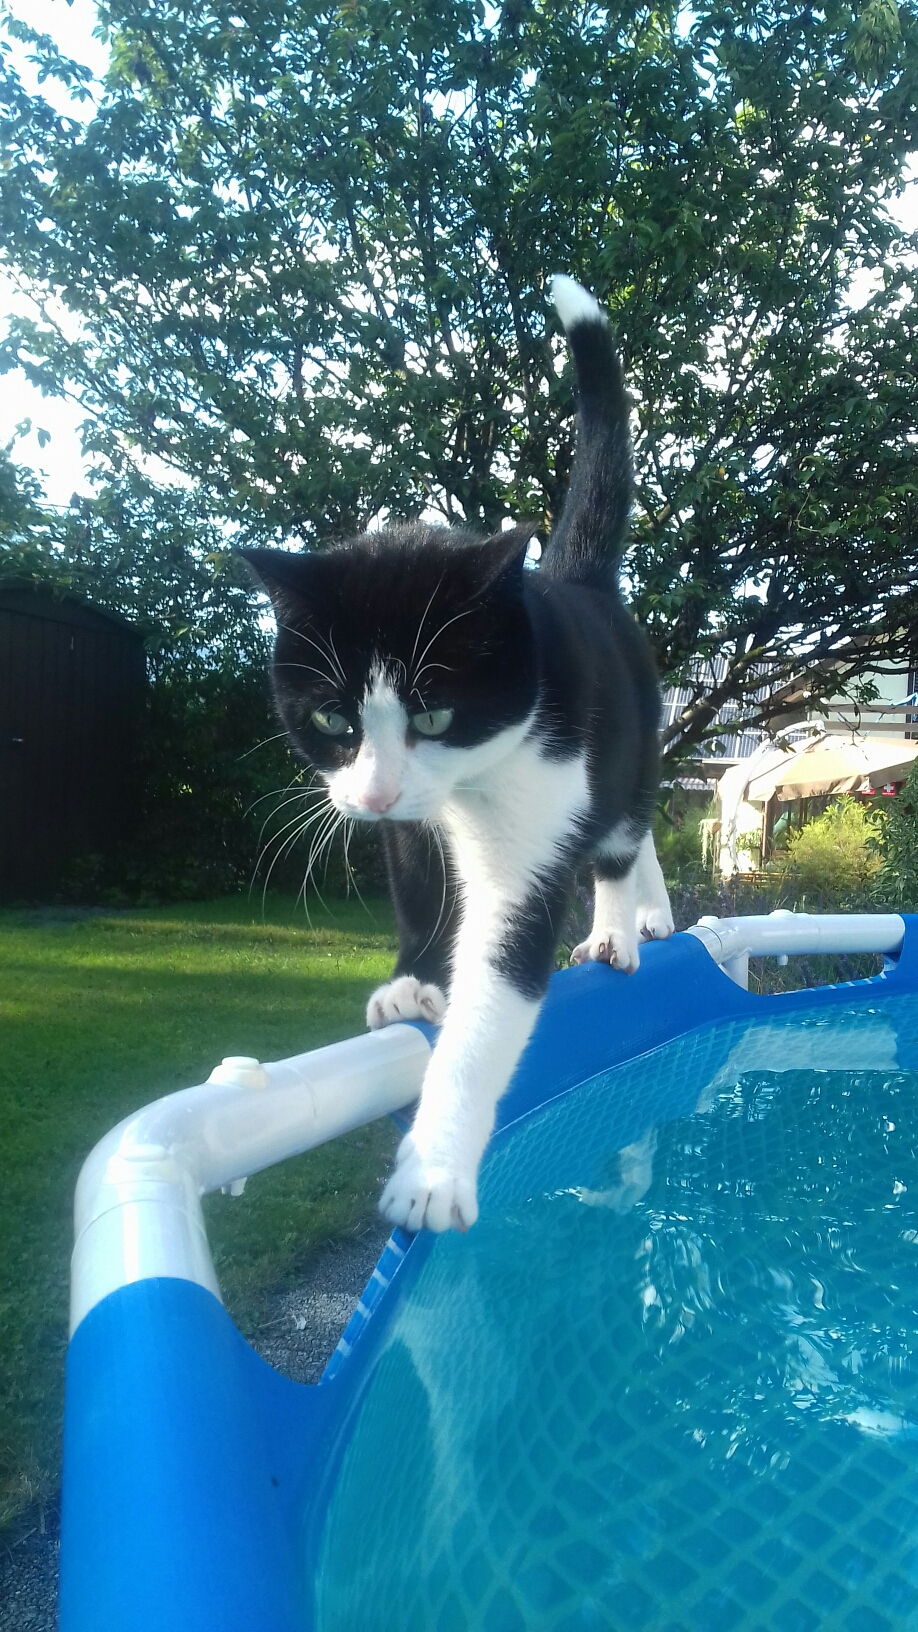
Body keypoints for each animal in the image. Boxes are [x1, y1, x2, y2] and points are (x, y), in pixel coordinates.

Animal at [243, 274, 673, 1235]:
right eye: (332, 718)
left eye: (436, 712)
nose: (370, 796)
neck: (468, 778)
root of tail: (578, 580)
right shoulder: (402, 815)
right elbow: (414, 880)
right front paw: (412, 979)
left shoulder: (542, 793)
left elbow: (499, 976)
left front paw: (435, 1169)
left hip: (634, 742)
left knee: (625, 836)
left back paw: (623, 929)